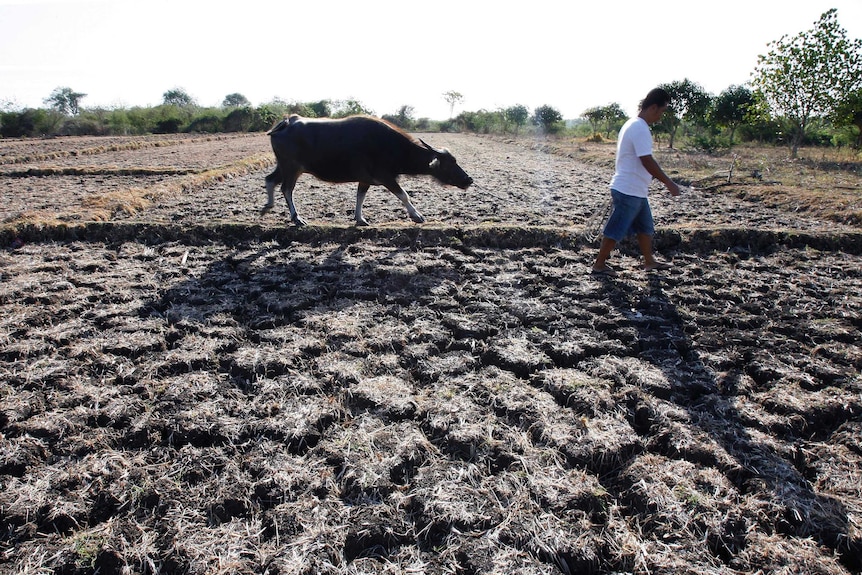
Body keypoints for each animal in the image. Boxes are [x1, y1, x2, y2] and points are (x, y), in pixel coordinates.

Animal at [264, 113, 472, 226]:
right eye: (449, 163)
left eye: (455, 160)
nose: (468, 180)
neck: (392, 147)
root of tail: (287, 122)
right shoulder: (385, 177)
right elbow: (404, 195)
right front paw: (417, 215)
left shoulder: (365, 180)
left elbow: (360, 197)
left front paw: (360, 219)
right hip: (291, 168)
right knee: (286, 189)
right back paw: (297, 218)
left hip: (284, 166)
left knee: (270, 179)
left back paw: (268, 205)